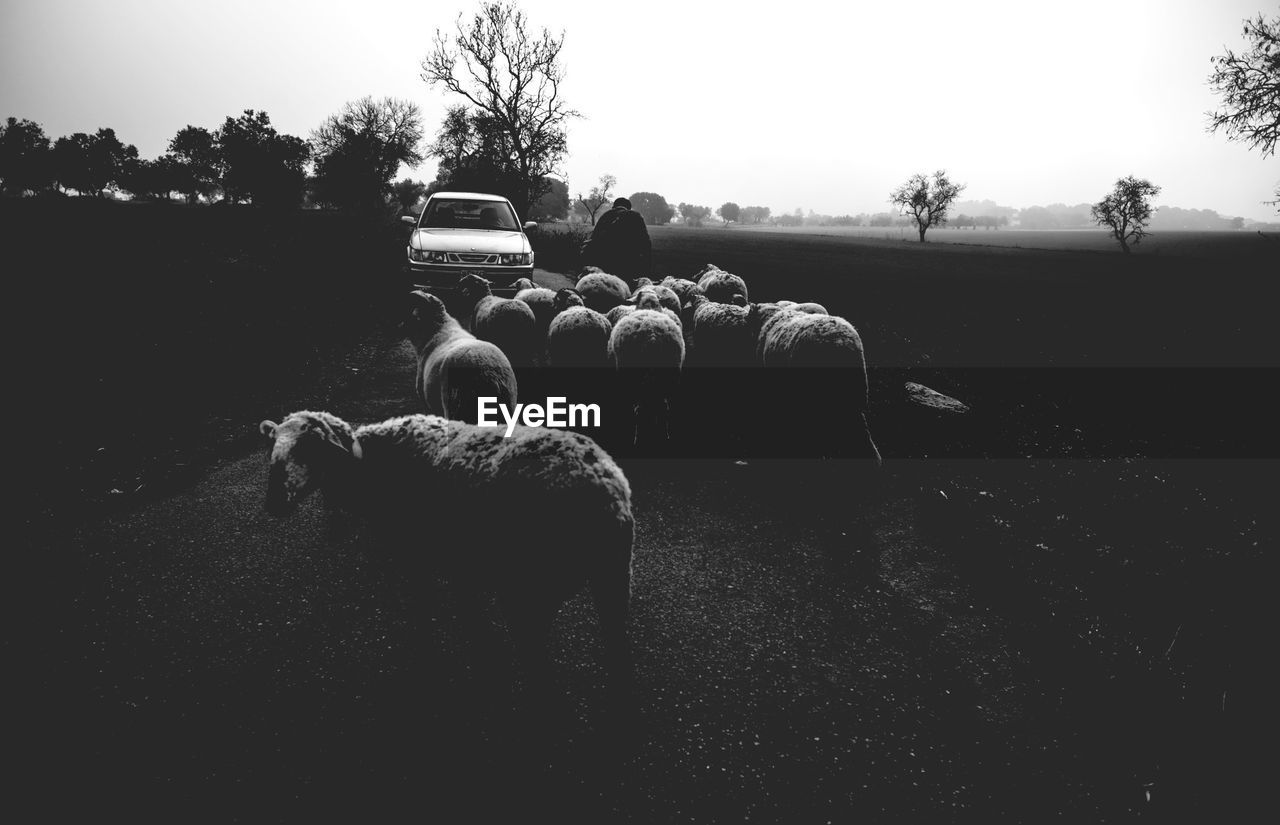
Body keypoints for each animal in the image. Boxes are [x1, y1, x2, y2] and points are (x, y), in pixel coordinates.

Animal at [256, 409, 634, 695]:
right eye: (273, 449)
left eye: (310, 448)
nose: (273, 503)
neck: (370, 470)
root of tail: (602, 486)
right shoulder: (459, 559)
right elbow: (468, 610)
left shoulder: (416, 553)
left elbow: (425, 608)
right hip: (612, 577)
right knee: (616, 651)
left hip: (530, 588)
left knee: (538, 664)